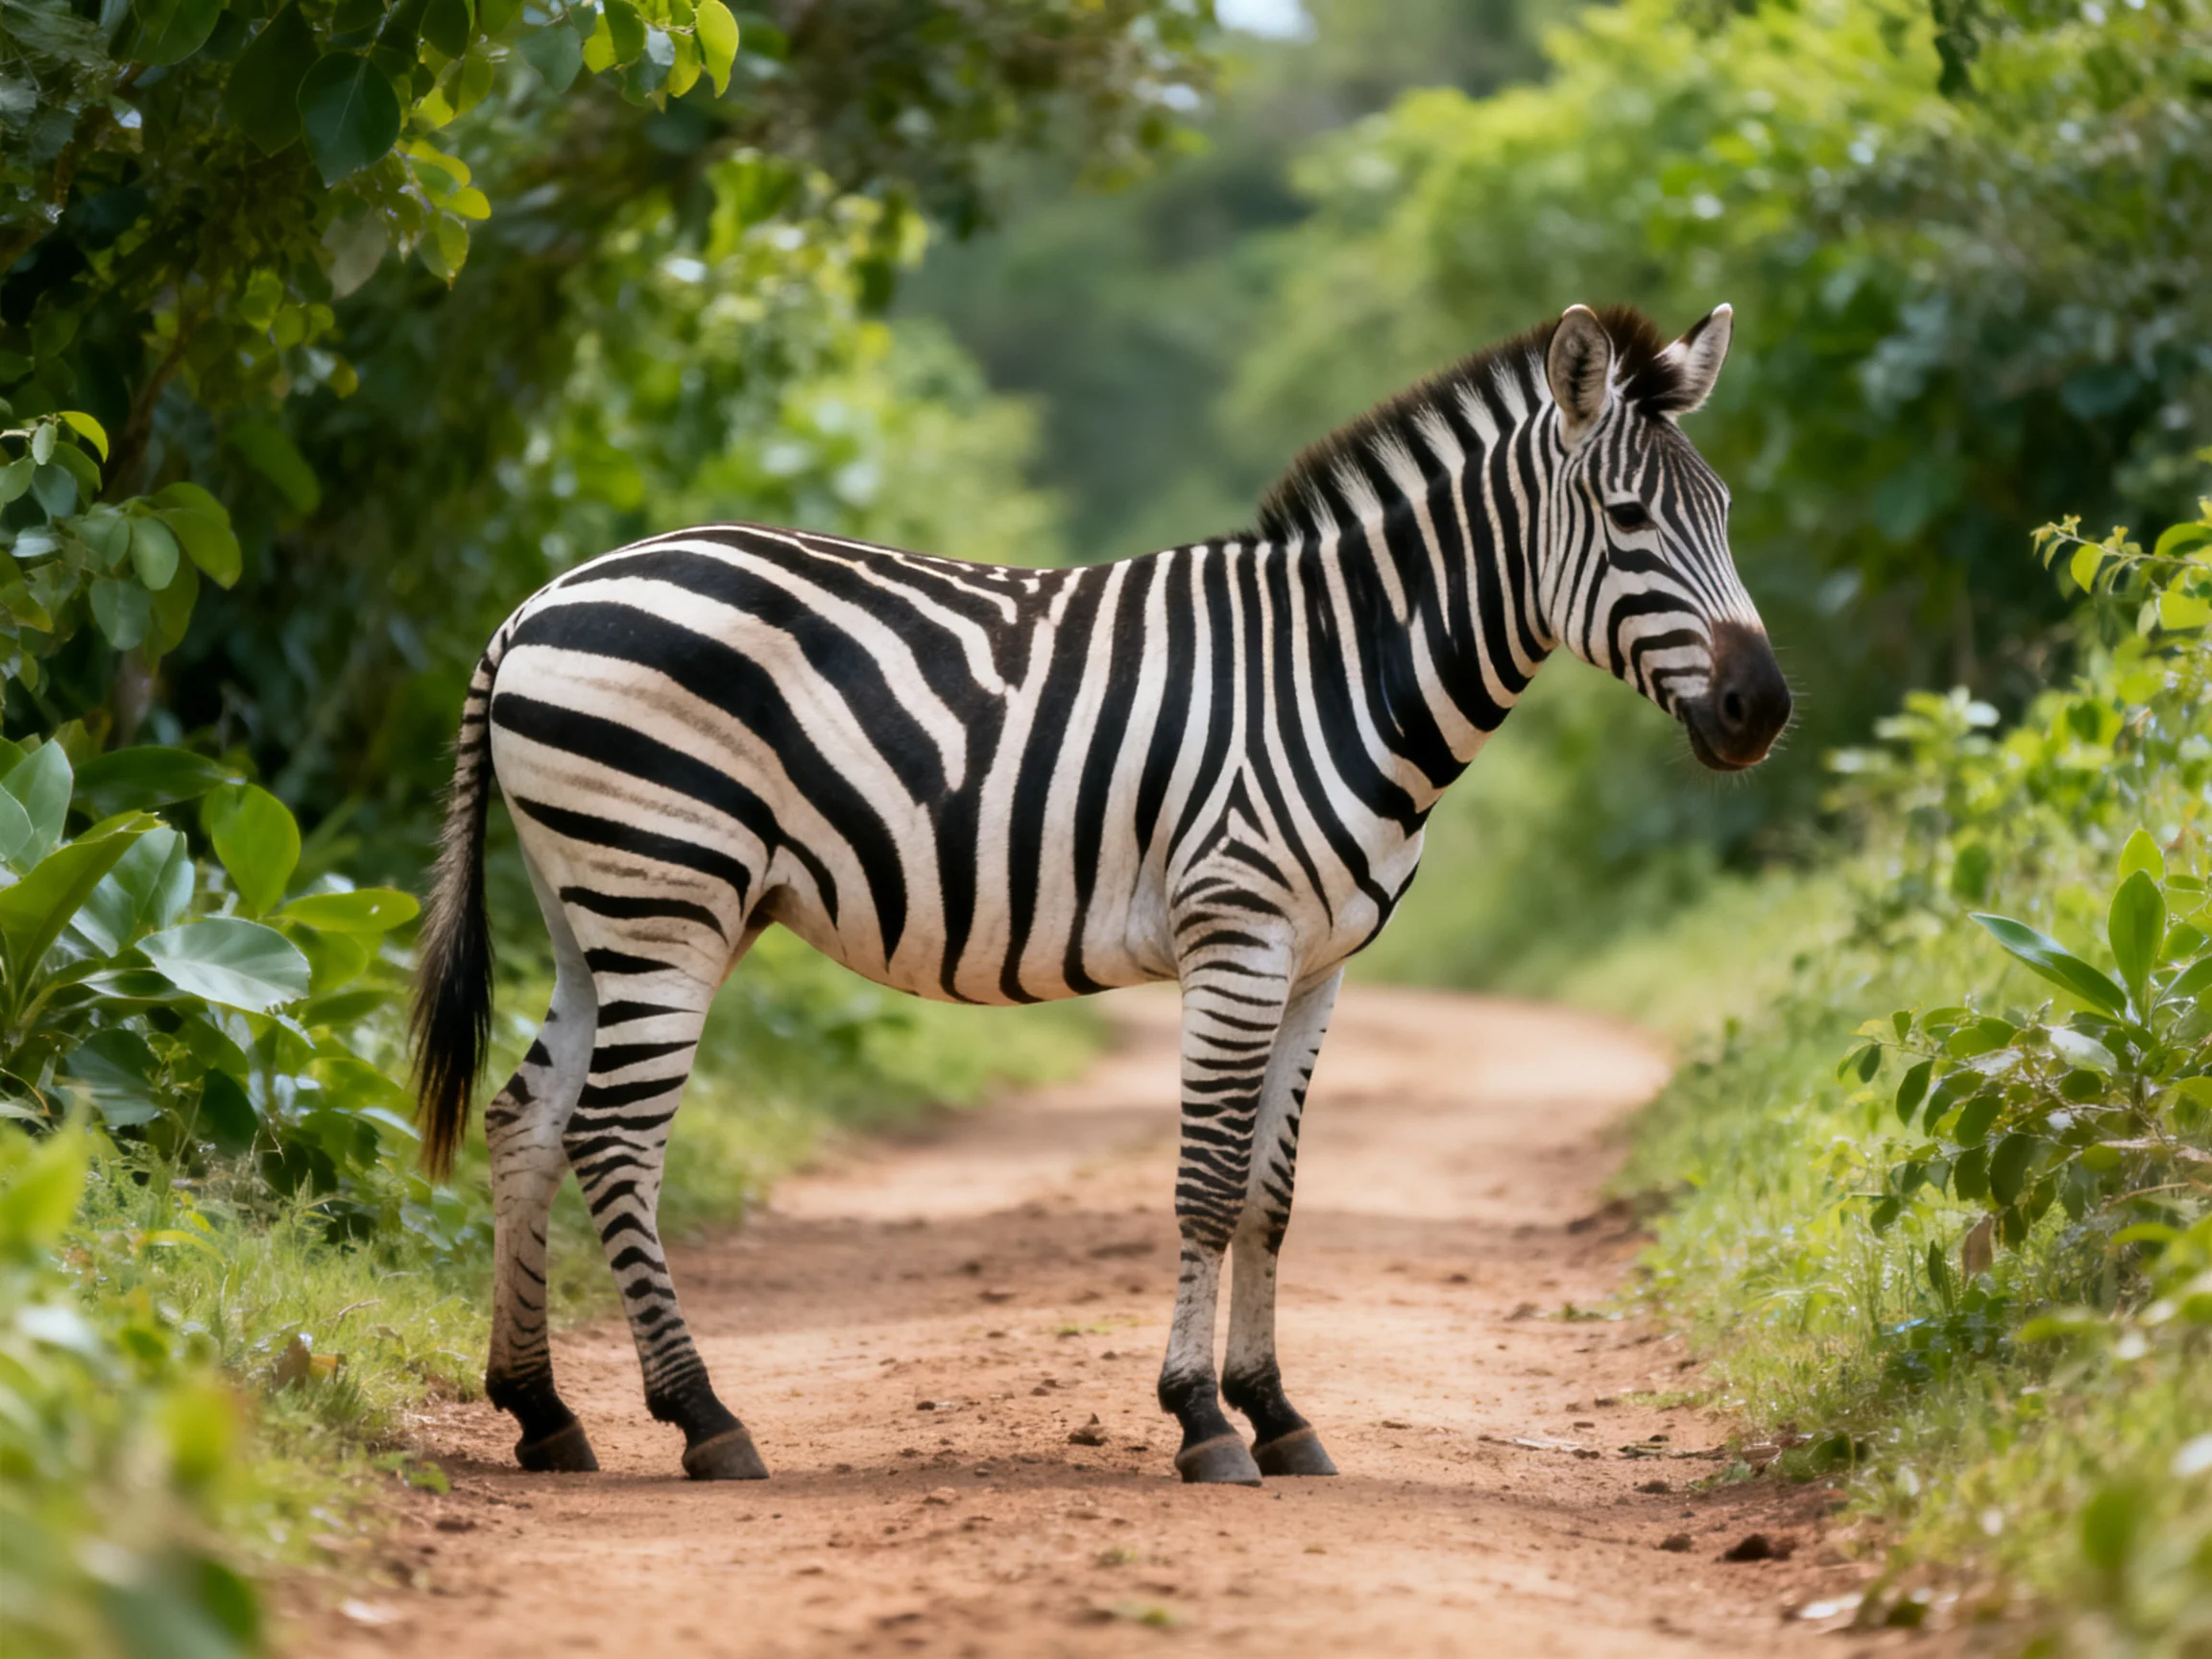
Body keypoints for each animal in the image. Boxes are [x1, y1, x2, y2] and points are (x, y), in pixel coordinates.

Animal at [412, 303, 1790, 1486]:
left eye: (1725, 512)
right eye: (1626, 516)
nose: (1761, 710)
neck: (1340, 671)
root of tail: (537, 602)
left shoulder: (1319, 966)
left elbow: (1272, 1198)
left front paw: (1278, 1414)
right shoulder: (1237, 936)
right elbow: (1208, 1183)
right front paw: (1202, 1422)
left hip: (597, 908)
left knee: (528, 1117)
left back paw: (543, 1412)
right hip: (667, 894)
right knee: (614, 1139)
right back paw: (703, 1418)